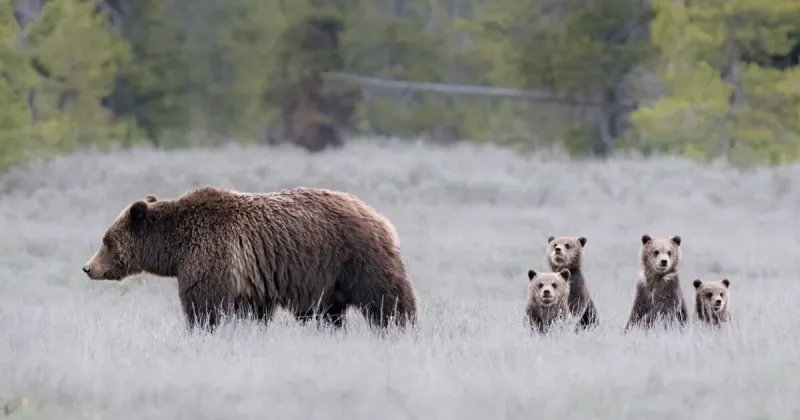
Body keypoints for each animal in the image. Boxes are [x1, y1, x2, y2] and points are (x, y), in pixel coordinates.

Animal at [82, 185, 419, 332]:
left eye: (105, 240)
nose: (88, 267)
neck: (175, 246)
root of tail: (377, 216)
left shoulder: (211, 254)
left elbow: (204, 304)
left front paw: (202, 330)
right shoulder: (250, 279)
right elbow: (250, 311)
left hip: (354, 256)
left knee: (386, 296)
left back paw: (400, 326)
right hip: (329, 279)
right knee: (327, 312)